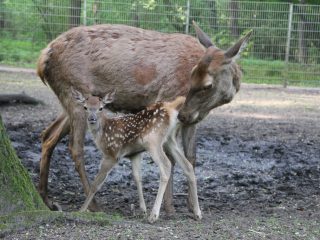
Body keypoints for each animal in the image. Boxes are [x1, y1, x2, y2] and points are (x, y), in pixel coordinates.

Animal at [73, 88, 202, 223]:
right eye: (85, 107)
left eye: (101, 108)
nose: (91, 119)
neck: (103, 134)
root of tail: (170, 107)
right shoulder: (134, 154)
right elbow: (137, 177)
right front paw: (142, 210)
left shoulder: (112, 154)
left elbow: (96, 184)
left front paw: (81, 210)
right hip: (169, 140)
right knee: (187, 165)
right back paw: (197, 213)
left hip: (152, 140)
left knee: (166, 165)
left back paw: (154, 215)